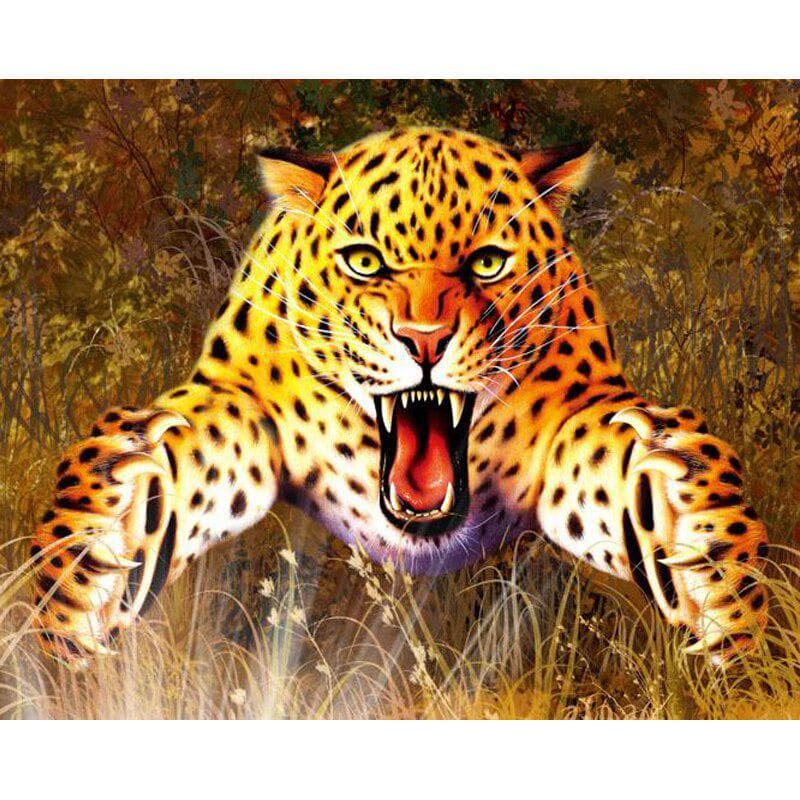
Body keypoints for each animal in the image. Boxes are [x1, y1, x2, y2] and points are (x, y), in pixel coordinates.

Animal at [29, 126, 770, 667]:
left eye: (487, 263)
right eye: (364, 261)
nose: (424, 340)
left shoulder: (577, 407)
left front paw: (716, 579)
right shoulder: (239, 392)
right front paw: (83, 581)